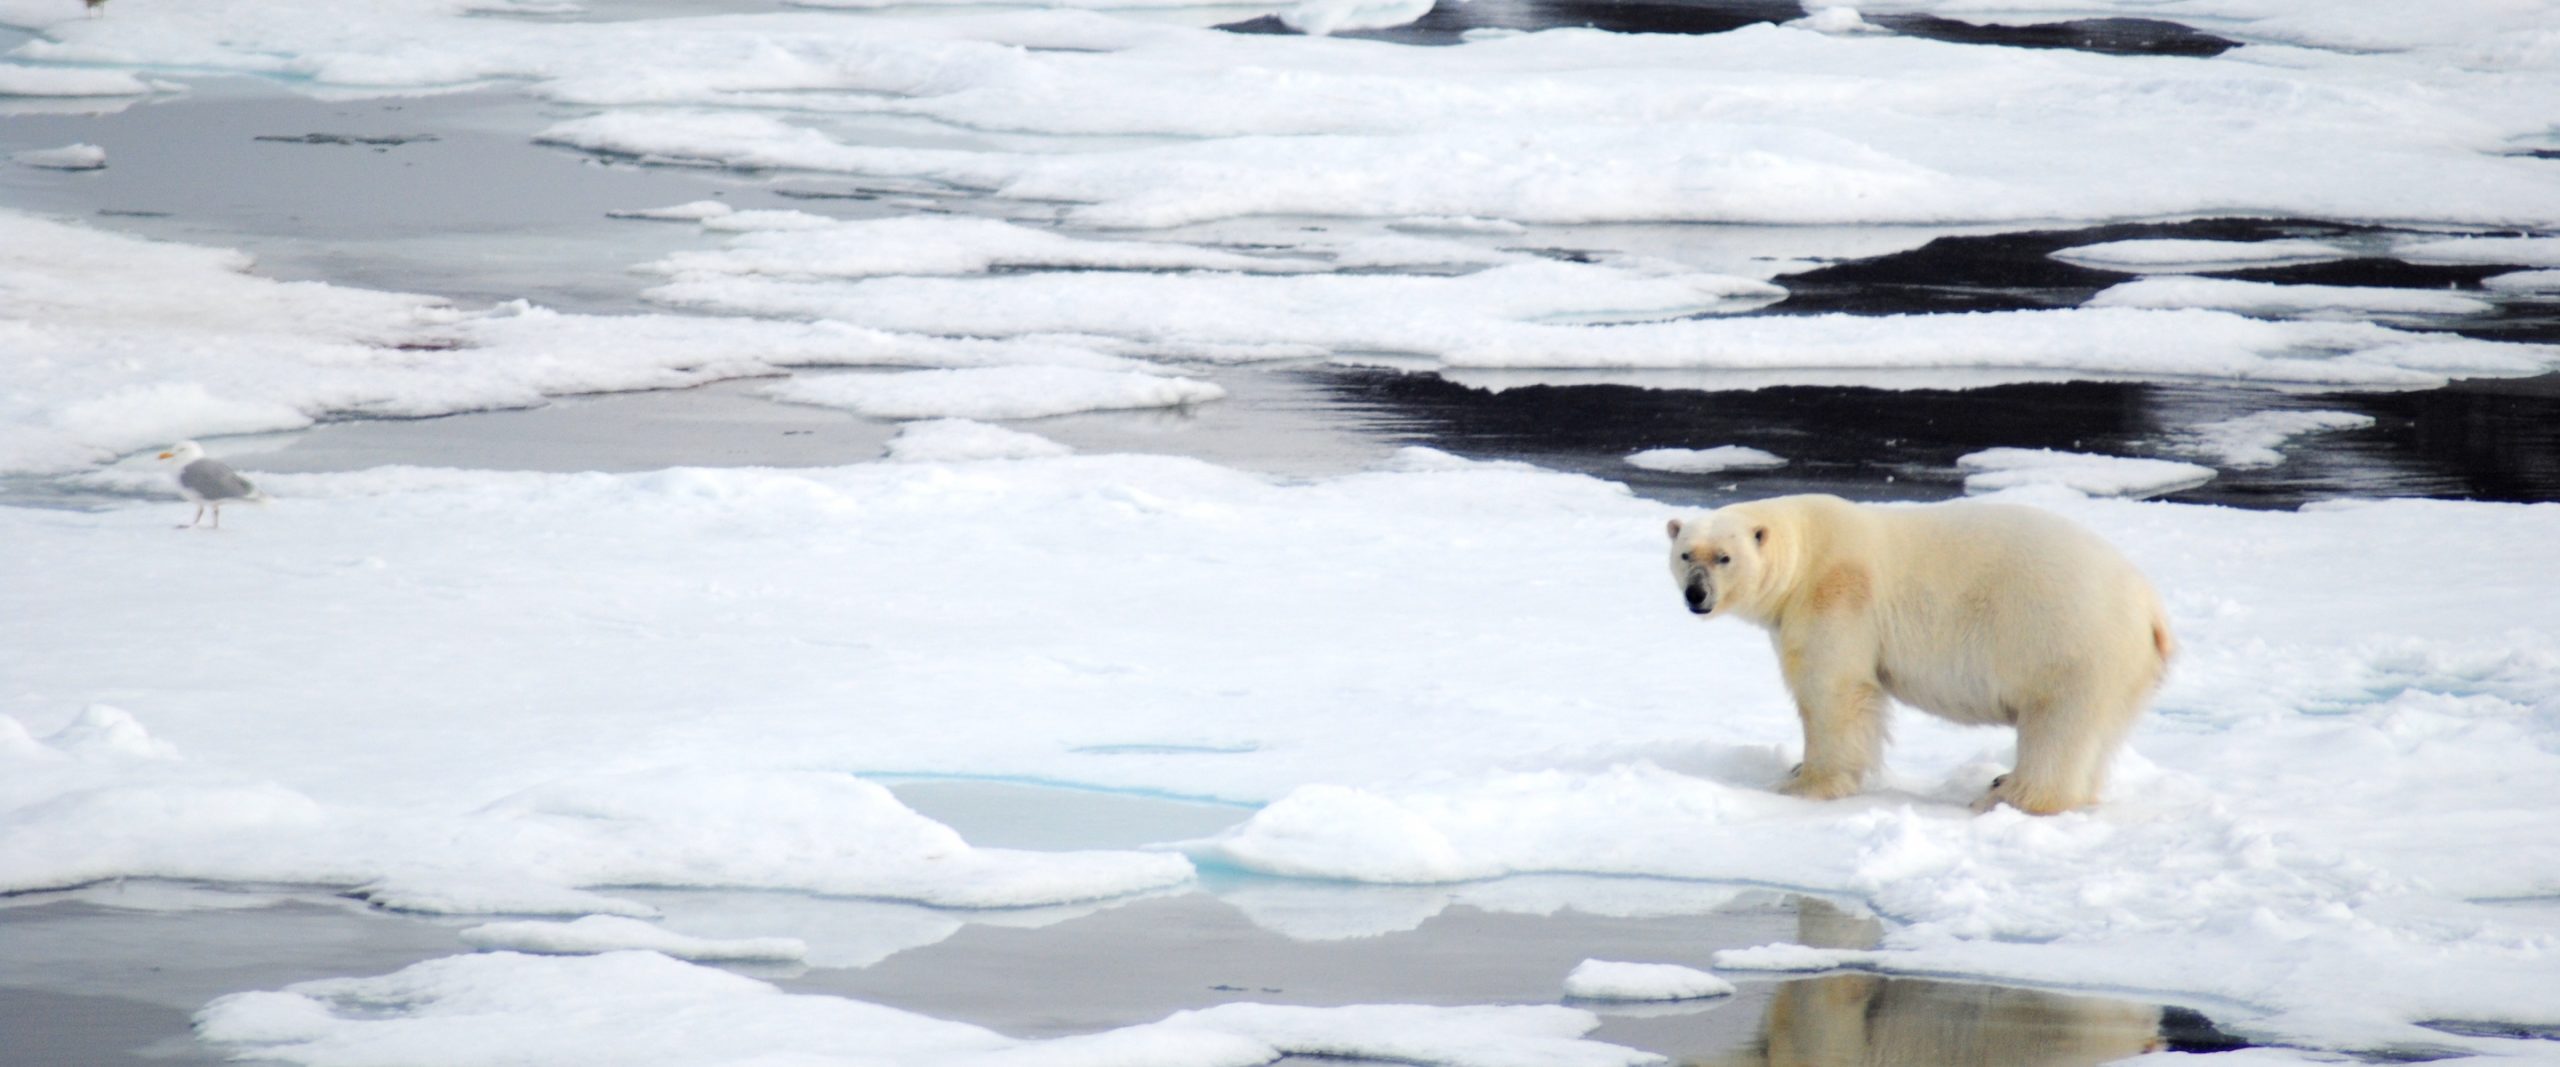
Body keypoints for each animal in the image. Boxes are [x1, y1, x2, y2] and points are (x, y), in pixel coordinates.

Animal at [1669, 493, 2170, 808]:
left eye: (1724, 557)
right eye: (1685, 554)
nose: (1696, 595)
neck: (1807, 552)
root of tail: (2150, 607)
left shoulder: (1837, 595)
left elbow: (1832, 691)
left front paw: (1803, 785)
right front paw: (1794, 770)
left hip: (2068, 641)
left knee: (2057, 724)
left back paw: (2009, 795)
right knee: (2097, 733)